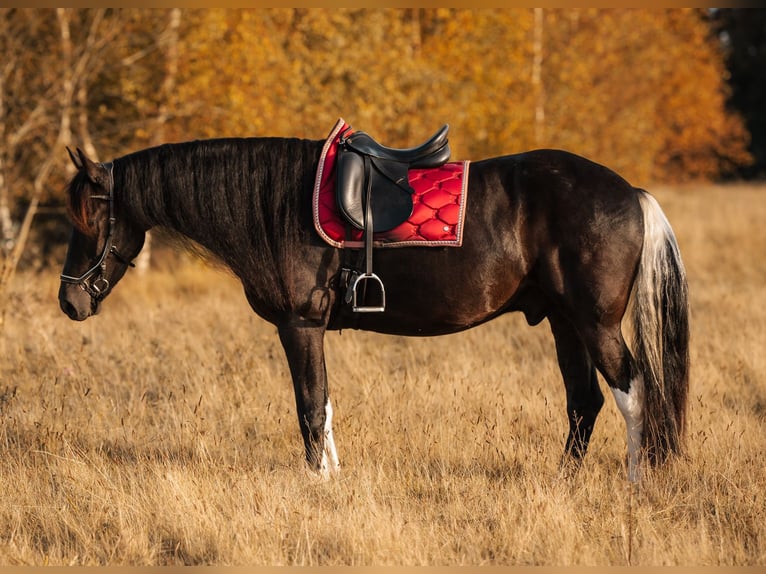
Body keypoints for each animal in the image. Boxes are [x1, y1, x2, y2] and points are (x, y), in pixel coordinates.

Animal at [57, 124, 692, 484]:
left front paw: (317, 484)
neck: (276, 204)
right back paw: (565, 483)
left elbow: (309, 408)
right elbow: (324, 404)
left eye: (89, 217)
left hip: (595, 322)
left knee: (633, 392)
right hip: (563, 321)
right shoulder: (308, 330)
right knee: (584, 403)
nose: (69, 301)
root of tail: (630, 193)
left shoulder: (299, 325)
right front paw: (333, 479)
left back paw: (635, 483)